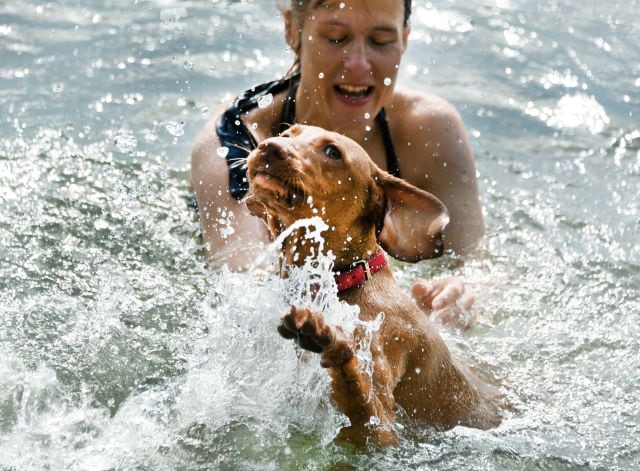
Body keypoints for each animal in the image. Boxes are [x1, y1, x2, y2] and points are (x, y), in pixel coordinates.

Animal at [245, 124, 500, 446]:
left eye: (333, 152)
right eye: (288, 134)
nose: (269, 147)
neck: (343, 281)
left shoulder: (381, 429)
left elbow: (359, 397)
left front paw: (330, 343)